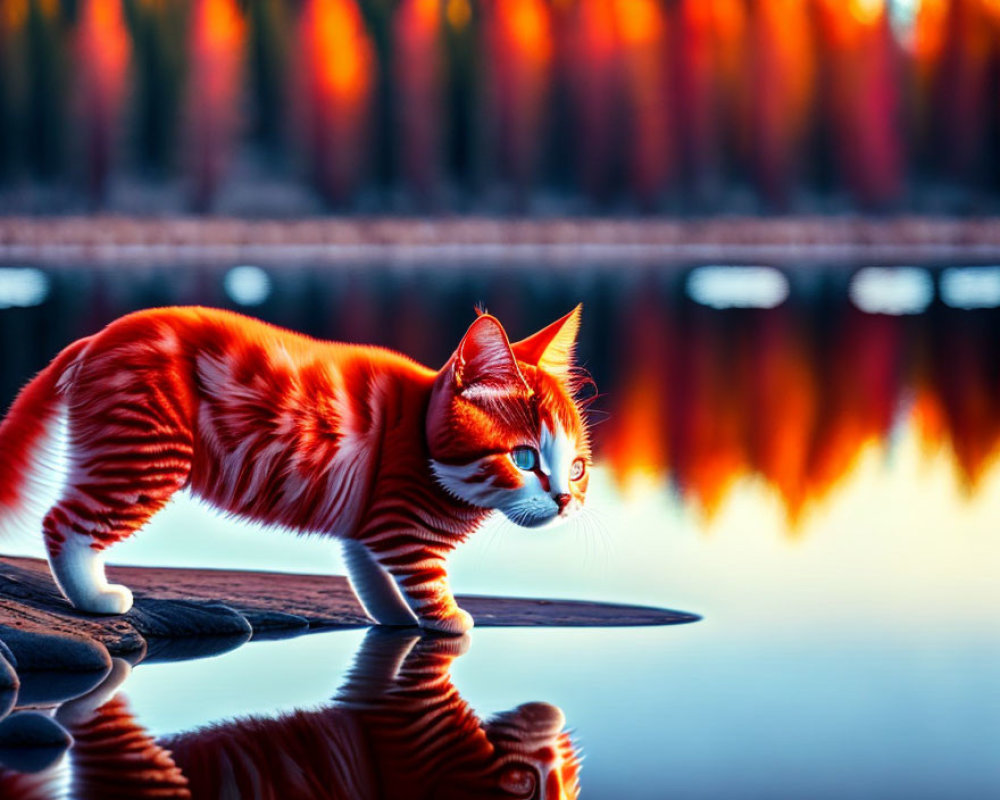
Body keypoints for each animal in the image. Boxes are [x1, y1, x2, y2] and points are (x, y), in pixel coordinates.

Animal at [0, 304, 584, 632]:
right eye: (524, 458)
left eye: (576, 468)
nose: (563, 501)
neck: (419, 431)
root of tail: (97, 337)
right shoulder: (401, 525)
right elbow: (425, 578)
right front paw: (447, 621)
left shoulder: (368, 526)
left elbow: (372, 578)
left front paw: (395, 618)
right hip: (147, 455)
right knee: (63, 523)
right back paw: (95, 600)